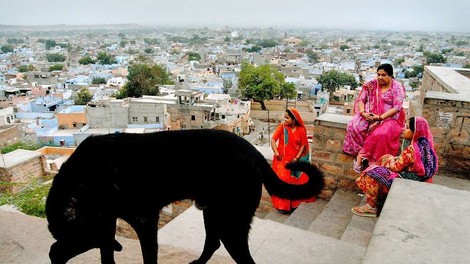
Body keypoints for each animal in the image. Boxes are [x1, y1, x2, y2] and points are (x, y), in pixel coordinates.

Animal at [46, 129, 324, 262]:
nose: (119, 246)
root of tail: (252, 152)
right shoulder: (107, 223)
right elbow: (106, 257)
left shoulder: (144, 221)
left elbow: (148, 257)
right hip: (213, 213)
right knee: (212, 243)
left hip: (230, 222)